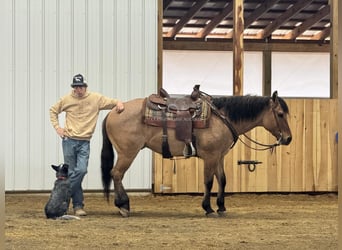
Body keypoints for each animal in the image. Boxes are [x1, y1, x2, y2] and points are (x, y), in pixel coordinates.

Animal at [101, 88, 292, 217]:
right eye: (280, 114)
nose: (288, 138)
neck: (221, 119)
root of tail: (113, 111)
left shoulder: (219, 156)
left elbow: (222, 180)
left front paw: (221, 207)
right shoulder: (210, 157)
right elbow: (208, 181)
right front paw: (208, 208)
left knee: (115, 174)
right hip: (128, 153)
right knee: (116, 173)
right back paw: (123, 206)